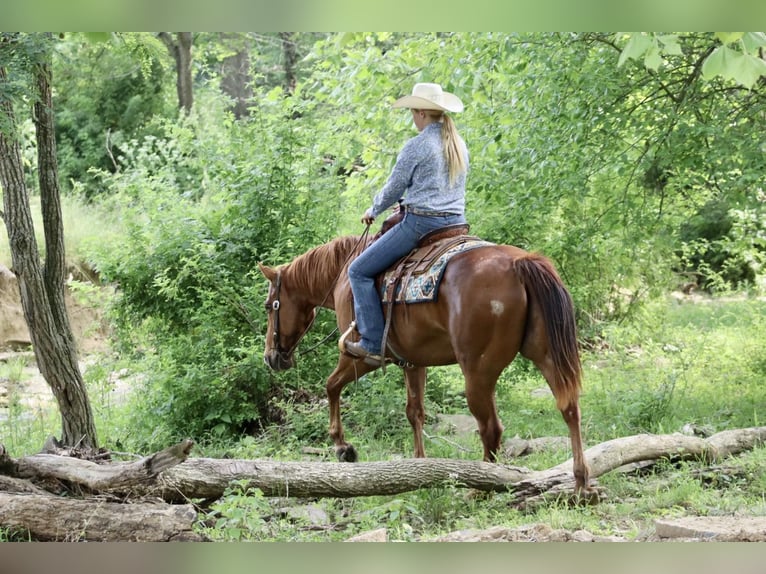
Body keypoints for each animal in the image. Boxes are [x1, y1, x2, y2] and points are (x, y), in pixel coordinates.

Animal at [260, 234, 592, 496]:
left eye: (269, 306)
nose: (271, 357)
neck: (343, 276)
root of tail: (520, 262)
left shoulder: (359, 356)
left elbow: (331, 386)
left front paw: (343, 448)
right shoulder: (413, 363)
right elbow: (415, 412)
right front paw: (419, 468)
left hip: (477, 372)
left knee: (491, 429)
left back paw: (480, 489)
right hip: (546, 356)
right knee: (570, 409)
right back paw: (580, 483)